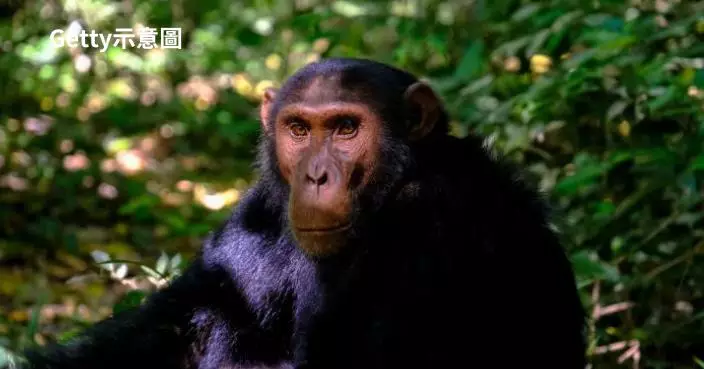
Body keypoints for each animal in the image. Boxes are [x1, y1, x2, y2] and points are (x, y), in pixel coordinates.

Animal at [19, 57, 584, 368]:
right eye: (298, 129)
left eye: (346, 128)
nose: (315, 175)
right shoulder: (257, 215)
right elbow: (172, 325)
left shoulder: (434, 221)